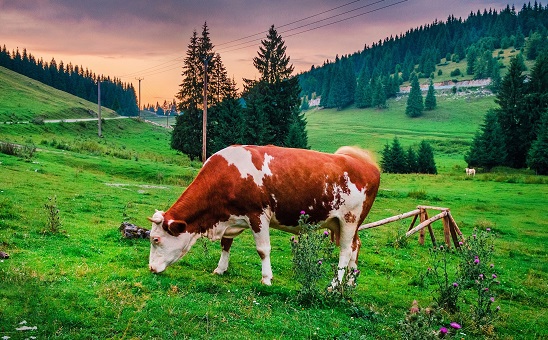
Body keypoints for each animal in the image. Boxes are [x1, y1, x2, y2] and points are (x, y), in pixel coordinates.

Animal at [149, 145, 382, 286]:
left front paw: (266, 278)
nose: (151, 268)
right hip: (340, 224)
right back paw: (350, 282)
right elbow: (226, 244)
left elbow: (263, 250)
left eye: (156, 239)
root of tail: (365, 163)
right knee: (355, 247)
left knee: (345, 251)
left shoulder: (258, 215)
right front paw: (220, 269)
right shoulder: (230, 217)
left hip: (349, 219)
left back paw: (334, 285)